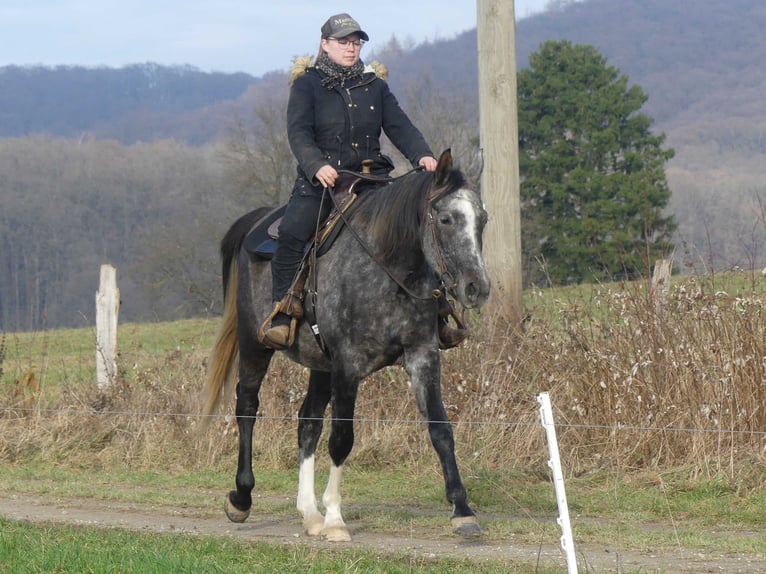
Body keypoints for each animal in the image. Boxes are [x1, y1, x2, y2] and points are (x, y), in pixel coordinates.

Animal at [203, 149, 491, 541]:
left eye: (482, 220)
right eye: (446, 219)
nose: (478, 288)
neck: (387, 267)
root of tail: (256, 220)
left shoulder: (422, 356)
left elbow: (441, 430)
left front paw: (462, 512)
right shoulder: (347, 365)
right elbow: (342, 438)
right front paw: (336, 519)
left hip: (319, 363)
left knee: (307, 422)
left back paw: (309, 513)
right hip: (254, 345)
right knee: (247, 407)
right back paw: (242, 498)